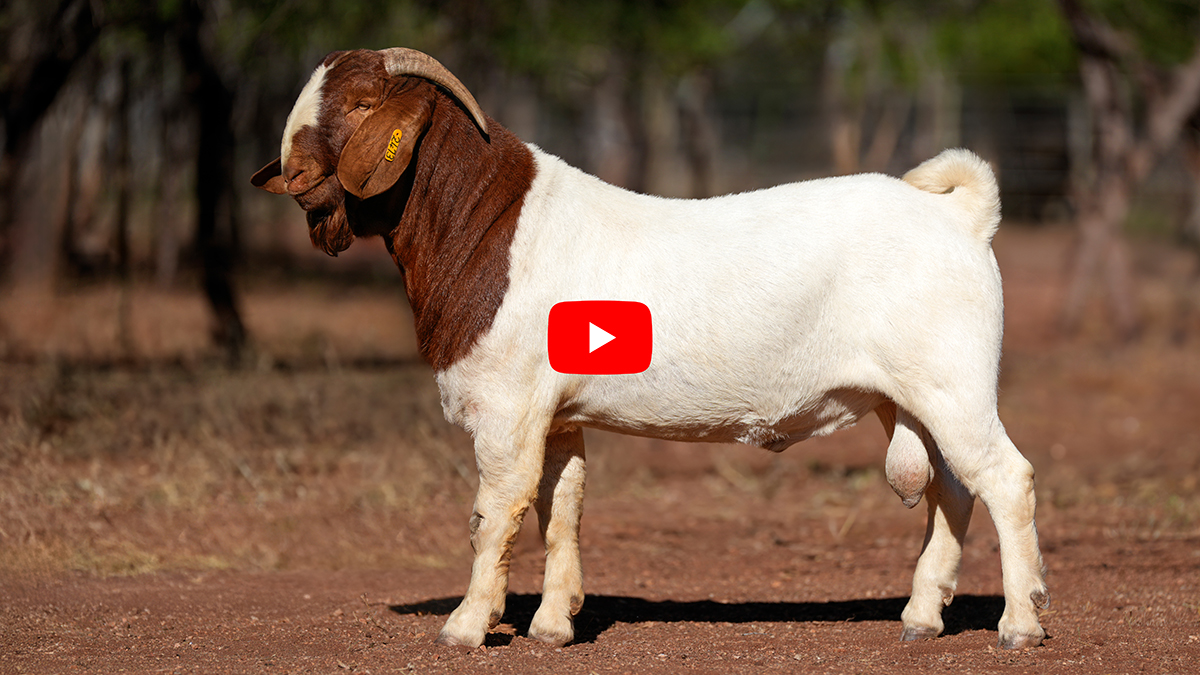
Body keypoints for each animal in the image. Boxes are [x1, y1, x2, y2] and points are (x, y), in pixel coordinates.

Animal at [251, 47, 1048, 650]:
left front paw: (467, 626)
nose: (291, 178)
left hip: (954, 382)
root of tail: (961, 216)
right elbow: (561, 505)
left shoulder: (508, 407)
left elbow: (495, 511)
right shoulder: (558, 414)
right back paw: (922, 616)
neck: (485, 225)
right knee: (952, 488)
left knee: (1006, 478)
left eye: (361, 104)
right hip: (911, 394)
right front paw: (553, 624)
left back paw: (1019, 624)